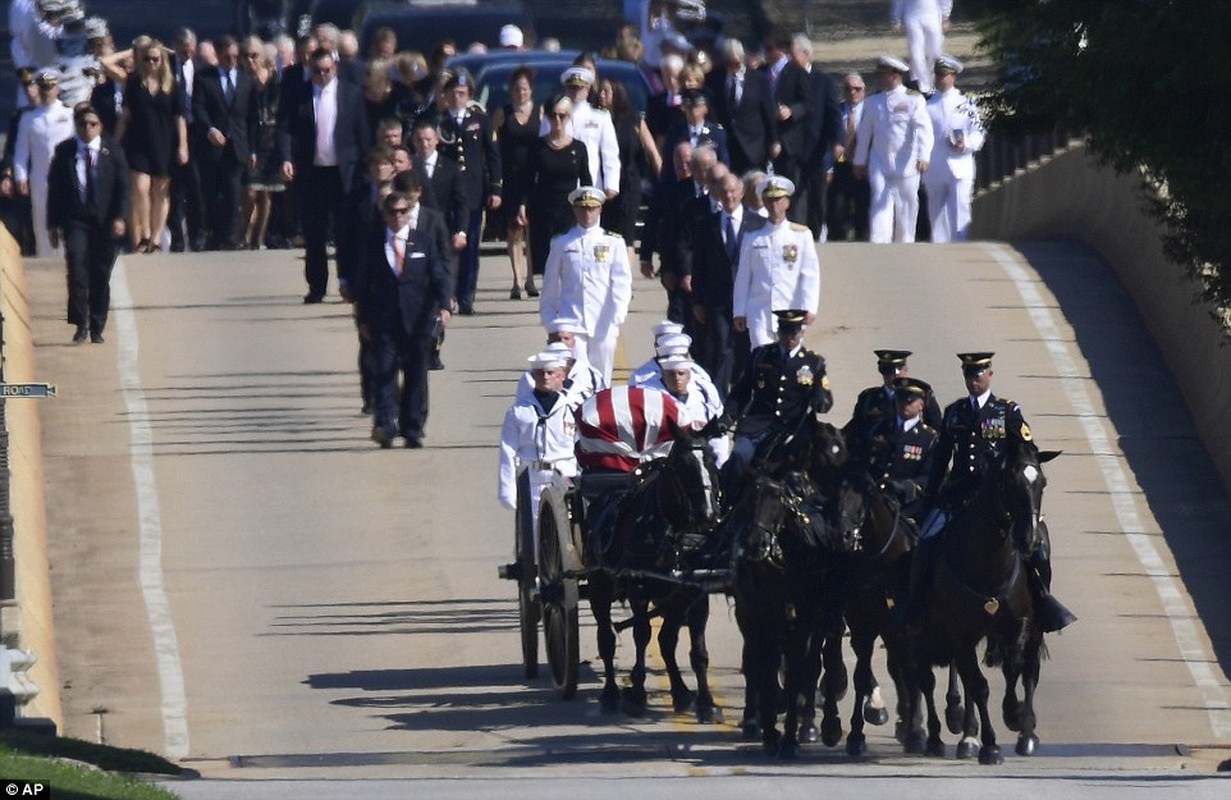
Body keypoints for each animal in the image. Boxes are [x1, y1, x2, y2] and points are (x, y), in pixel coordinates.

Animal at [583, 418, 718, 718]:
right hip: (598, 588)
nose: (707, 515)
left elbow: (690, 646)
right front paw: (638, 694)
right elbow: (642, 634)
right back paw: (611, 693)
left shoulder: (692, 591)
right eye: (682, 464)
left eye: (713, 460)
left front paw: (702, 700)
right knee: (606, 638)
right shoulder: (638, 586)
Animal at [906, 438, 1058, 763]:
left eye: (1042, 482)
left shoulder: (1021, 620)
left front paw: (1014, 714)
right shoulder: (959, 630)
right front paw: (988, 744)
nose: (1030, 540)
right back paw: (960, 734)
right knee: (943, 677)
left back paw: (1027, 734)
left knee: (1030, 670)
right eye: (1010, 483)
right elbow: (977, 685)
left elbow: (1014, 666)